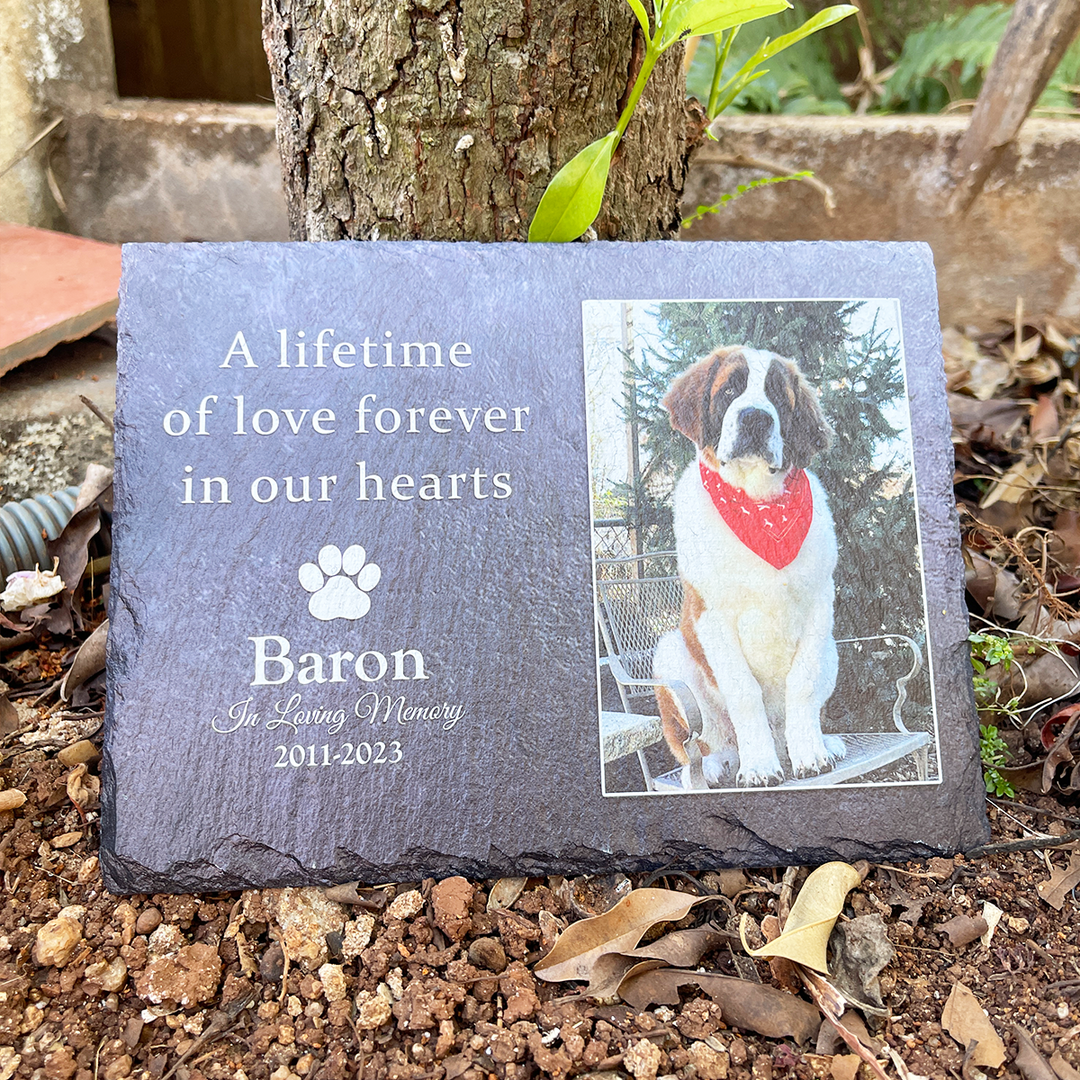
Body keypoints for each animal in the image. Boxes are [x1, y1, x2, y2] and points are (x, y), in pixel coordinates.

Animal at [648, 347, 842, 794]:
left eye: (777, 395)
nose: (756, 417)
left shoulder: (818, 605)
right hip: (671, 654)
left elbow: (802, 683)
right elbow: (744, 692)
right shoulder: (714, 618)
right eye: (729, 390)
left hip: (832, 650)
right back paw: (718, 763)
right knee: (702, 742)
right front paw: (759, 768)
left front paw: (810, 755)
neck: (759, 506)